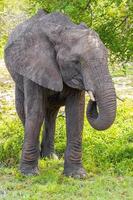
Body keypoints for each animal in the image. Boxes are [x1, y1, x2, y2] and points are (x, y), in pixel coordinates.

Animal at [4, 9, 116, 178]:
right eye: (76, 62)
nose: (94, 99)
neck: (62, 30)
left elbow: (76, 114)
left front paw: (77, 175)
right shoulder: (32, 66)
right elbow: (35, 113)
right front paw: (28, 174)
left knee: (51, 114)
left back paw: (50, 157)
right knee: (25, 110)